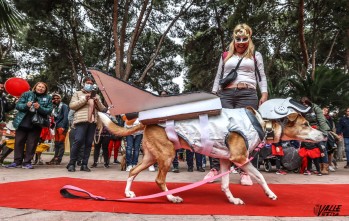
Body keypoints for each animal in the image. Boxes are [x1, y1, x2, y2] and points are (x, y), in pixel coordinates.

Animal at [97, 104, 324, 205]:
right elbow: (259, 176)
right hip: (167, 156)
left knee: (132, 171)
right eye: (306, 124)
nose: (324, 134)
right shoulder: (240, 158)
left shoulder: (225, 159)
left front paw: (232, 200)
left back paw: (128, 193)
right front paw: (269, 194)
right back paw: (171, 197)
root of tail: (145, 122)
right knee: (159, 179)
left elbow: (225, 184)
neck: (262, 123)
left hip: (151, 157)